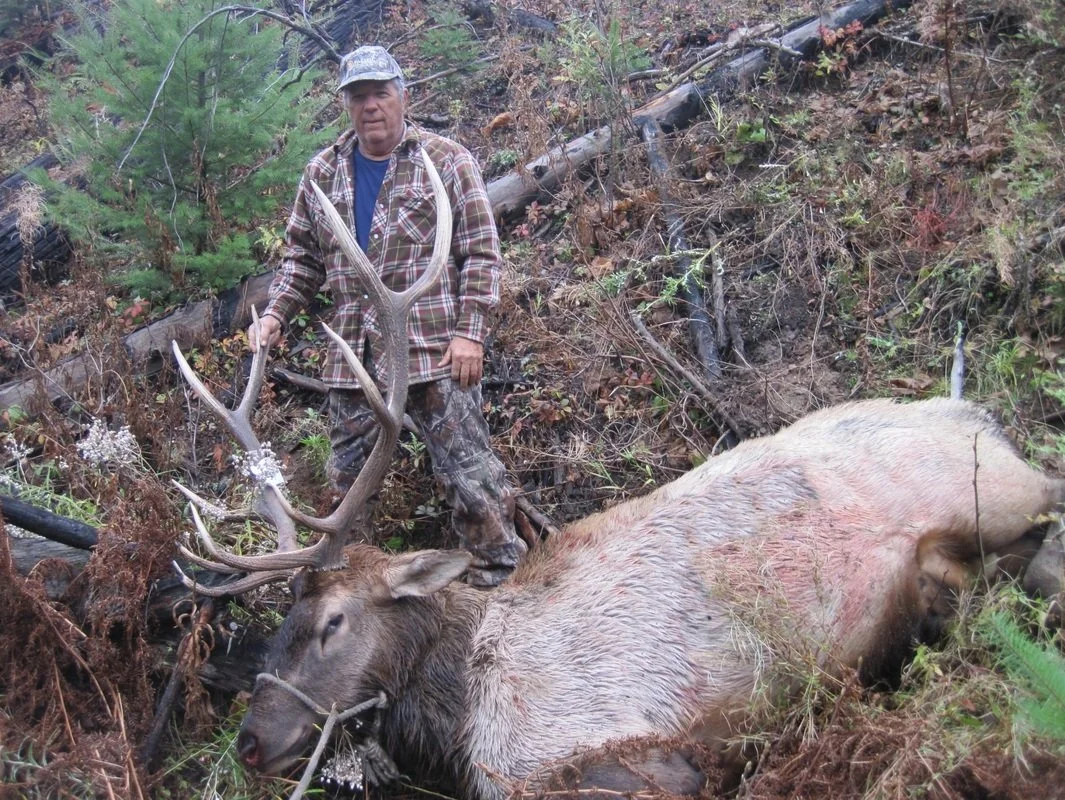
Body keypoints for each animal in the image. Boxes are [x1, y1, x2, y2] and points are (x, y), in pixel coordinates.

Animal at [170, 147, 1065, 799]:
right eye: (283, 621)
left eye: (333, 622)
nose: (251, 743)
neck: (460, 718)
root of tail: (971, 408)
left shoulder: (612, 749)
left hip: (990, 489)